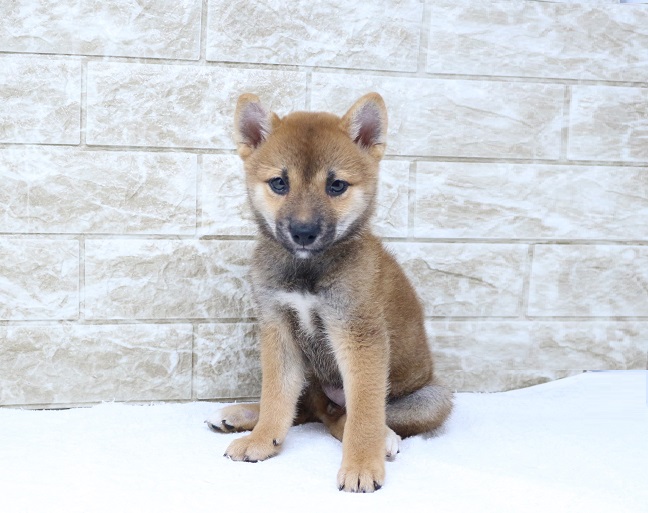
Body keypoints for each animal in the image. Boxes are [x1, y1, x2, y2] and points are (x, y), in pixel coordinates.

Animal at [208, 92, 450, 492]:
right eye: (279, 183)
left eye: (336, 186)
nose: (304, 232)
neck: (308, 270)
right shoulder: (278, 329)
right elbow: (276, 396)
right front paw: (262, 439)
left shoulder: (357, 332)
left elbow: (364, 413)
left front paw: (362, 464)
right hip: (312, 378)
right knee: (308, 409)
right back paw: (243, 416)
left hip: (432, 398)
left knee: (343, 418)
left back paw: (383, 439)